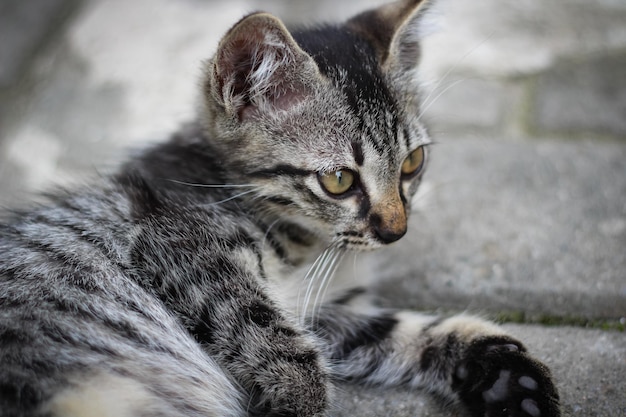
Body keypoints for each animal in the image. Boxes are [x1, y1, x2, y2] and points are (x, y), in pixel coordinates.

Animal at [0, 0, 556, 416]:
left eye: (412, 163)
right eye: (338, 181)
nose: (395, 231)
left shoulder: (324, 311)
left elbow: (397, 332)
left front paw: (500, 372)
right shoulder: (180, 246)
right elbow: (276, 343)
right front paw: (294, 400)